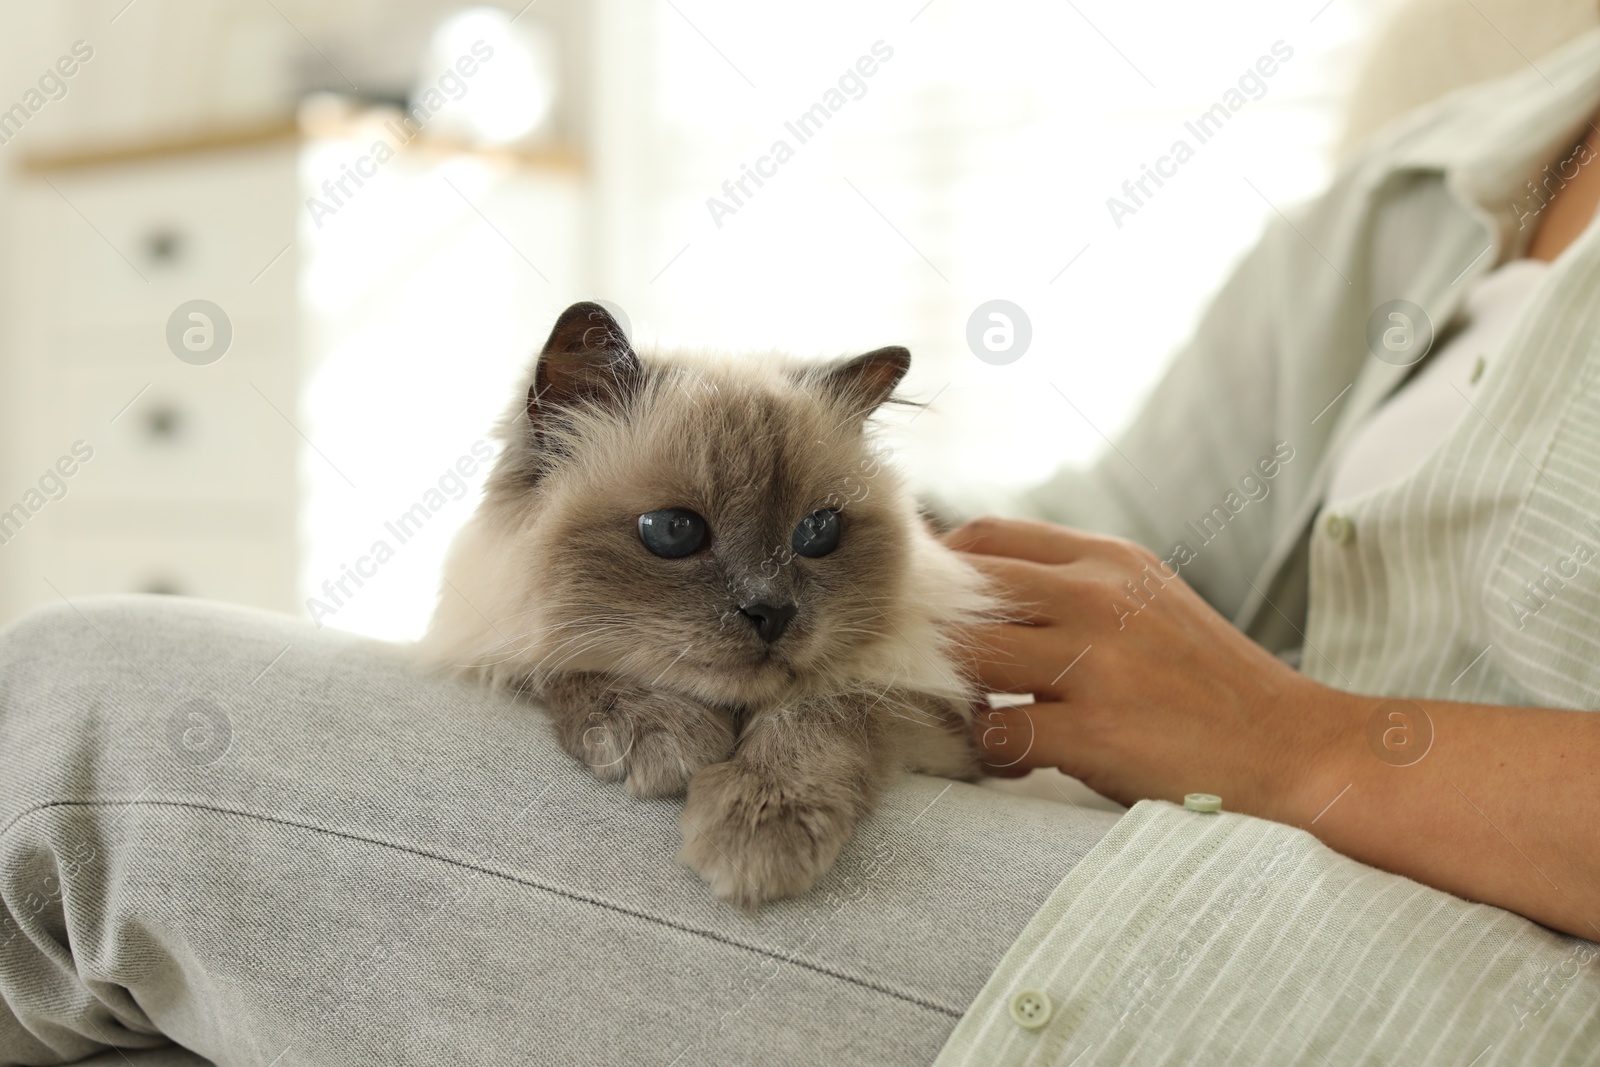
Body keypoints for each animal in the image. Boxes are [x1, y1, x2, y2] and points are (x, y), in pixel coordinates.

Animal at [425, 300, 998, 908]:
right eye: (673, 531)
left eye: (816, 532)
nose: (771, 613)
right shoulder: (486, 642)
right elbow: (557, 667)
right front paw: (661, 734)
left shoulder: (932, 722)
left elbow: (824, 706)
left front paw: (760, 829)